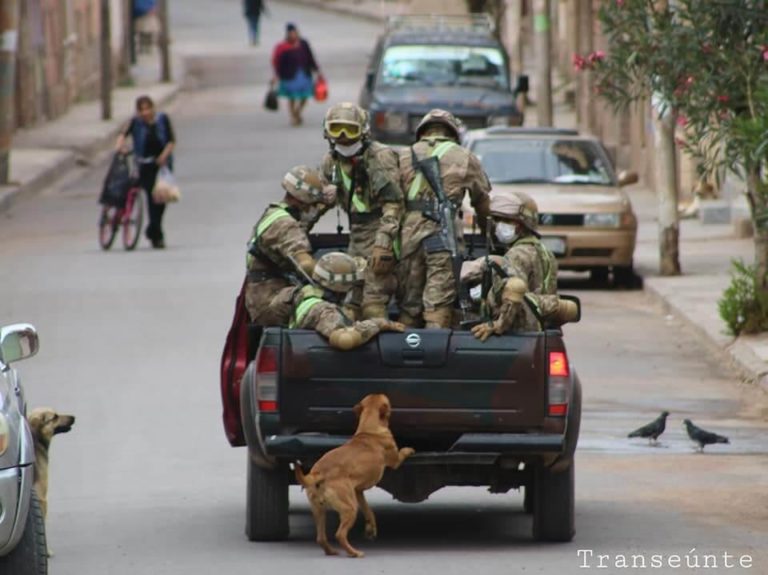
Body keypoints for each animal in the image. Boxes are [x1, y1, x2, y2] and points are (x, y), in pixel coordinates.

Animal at [294, 394, 414, 560]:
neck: (369, 427)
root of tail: (318, 474)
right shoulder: (395, 461)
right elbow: (401, 453)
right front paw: (409, 450)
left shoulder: (358, 492)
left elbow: (368, 510)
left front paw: (371, 527)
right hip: (349, 509)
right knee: (340, 535)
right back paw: (354, 552)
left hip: (319, 510)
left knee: (321, 538)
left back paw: (331, 551)